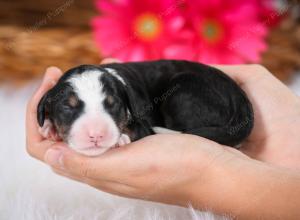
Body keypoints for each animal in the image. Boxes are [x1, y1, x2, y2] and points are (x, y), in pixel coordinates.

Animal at [37, 60, 253, 156]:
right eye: (68, 106)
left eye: (113, 104)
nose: (96, 135)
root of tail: (242, 102)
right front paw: (49, 128)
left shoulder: (143, 123)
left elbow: (136, 130)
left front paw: (121, 138)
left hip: (182, 90)